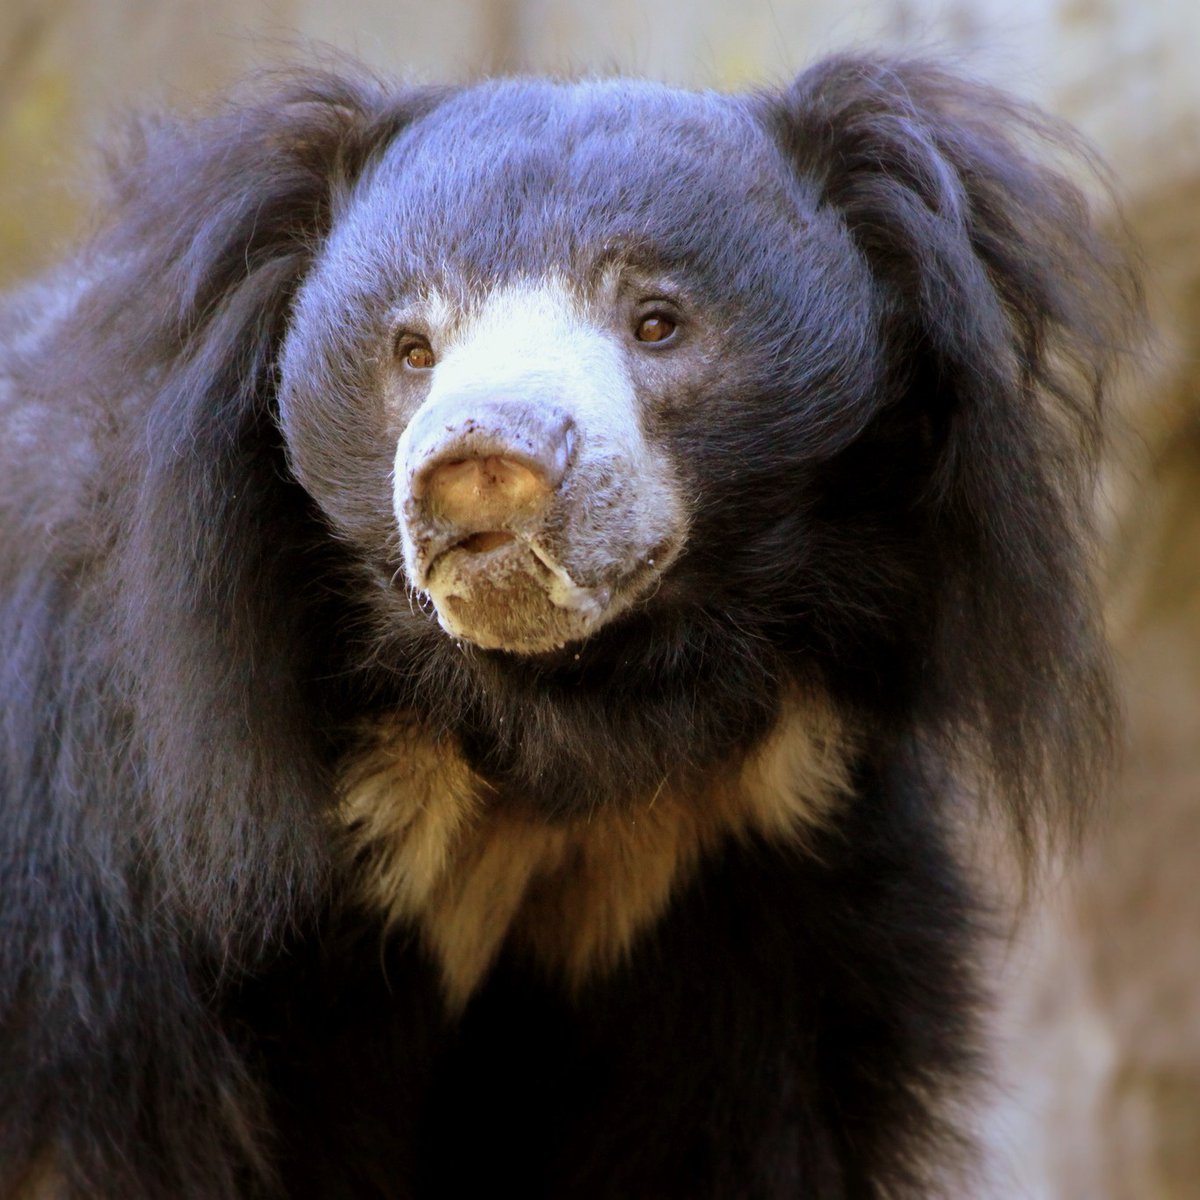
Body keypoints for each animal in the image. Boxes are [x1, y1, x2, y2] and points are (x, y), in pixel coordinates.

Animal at [0, 51, 1137, 1195]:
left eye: (656, 322)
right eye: (412, 348)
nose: (480, 465)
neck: (550, 723)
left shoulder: (760, 861)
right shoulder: (118, 854)